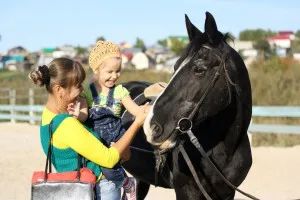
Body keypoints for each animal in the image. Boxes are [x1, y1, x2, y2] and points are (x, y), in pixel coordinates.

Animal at [120, 11, 252, 199]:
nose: (152, 126)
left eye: (199, 70)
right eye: (175, 66)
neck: (225, 151)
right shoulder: (185, 191)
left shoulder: (227, 193)